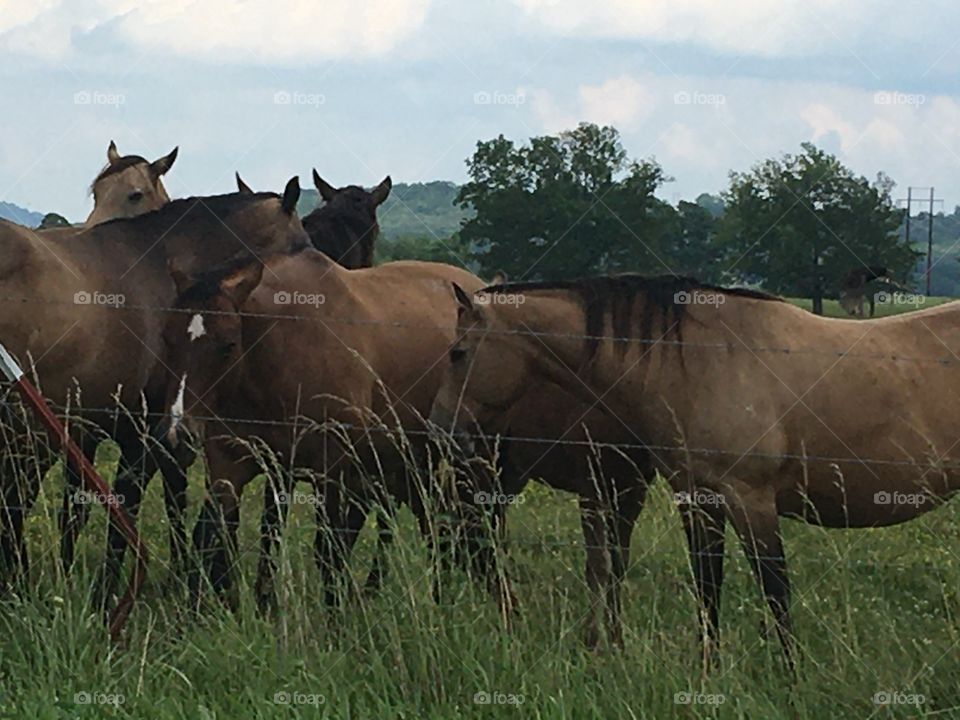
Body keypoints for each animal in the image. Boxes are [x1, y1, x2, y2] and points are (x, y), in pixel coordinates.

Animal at [157, 249, 485, 612]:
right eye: (167, 339)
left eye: (228, 344)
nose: (178, 432)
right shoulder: (232, 464)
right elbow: (219, 534)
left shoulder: (332, 471)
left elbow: (329, 551)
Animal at [430, 275, 960, 668]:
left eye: (458, 352)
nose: (439, 428)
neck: (698, 360)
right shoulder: (697, 498)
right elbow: (707, 585)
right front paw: (708, 669)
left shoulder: (751, 500)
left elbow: (775, 590)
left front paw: (789, 677)